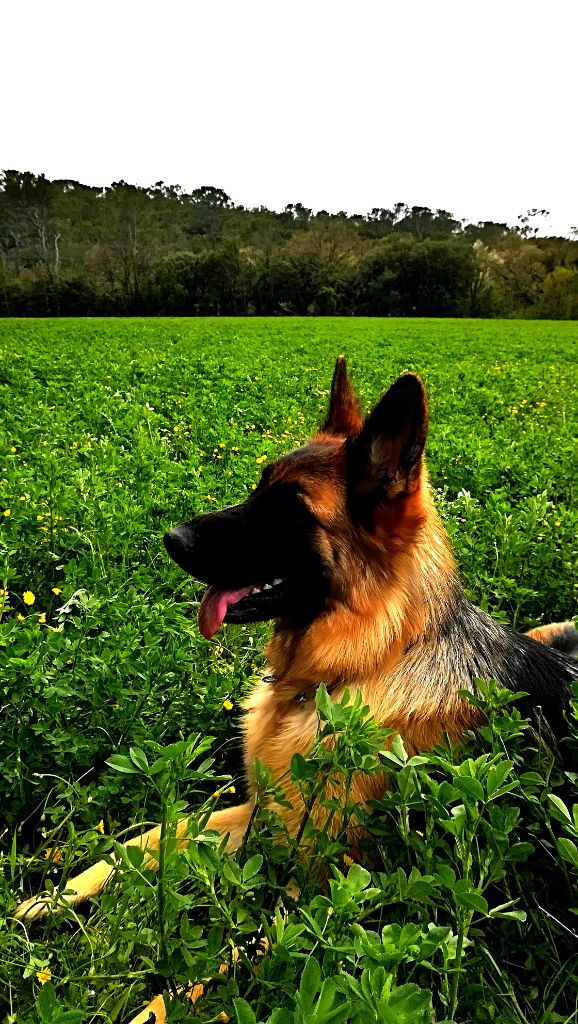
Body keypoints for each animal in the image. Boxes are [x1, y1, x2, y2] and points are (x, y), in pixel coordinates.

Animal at [15, 360, 573, 1015]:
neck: (358, 667)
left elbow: (204, 979)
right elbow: (149, 836)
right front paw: (47, 896)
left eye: (290, 510)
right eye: (259, 488)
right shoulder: (260, 813)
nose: (172, 538)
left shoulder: (316, 896)